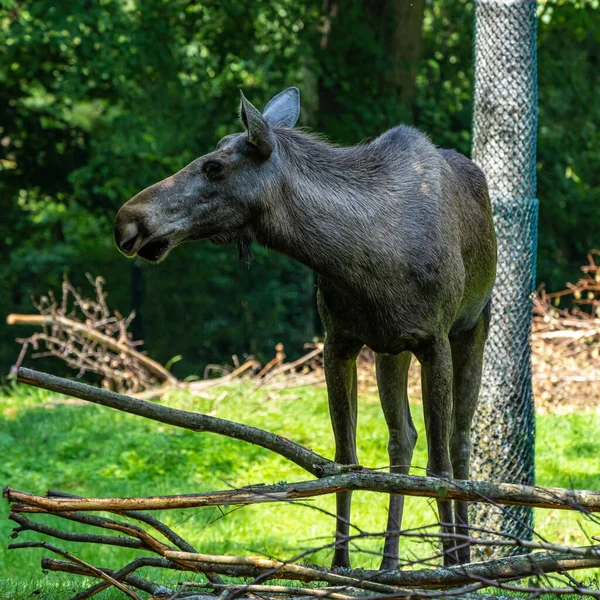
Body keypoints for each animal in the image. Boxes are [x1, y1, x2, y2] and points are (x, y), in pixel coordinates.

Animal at [113, 86, 496, 568]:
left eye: (215, 166)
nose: (127, 219)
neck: (364, 263)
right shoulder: (340, 340)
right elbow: (345, 461)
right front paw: (341, 564)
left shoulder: (434, 340)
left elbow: (440, 467)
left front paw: (452, 567)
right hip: (390, 351)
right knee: (401, 440)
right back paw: (389, 563)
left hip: (473, 325)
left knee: (459, 441)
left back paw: (463, 556)